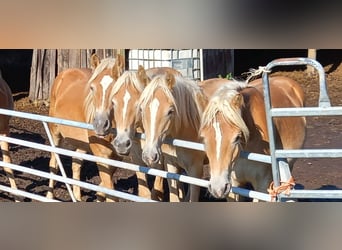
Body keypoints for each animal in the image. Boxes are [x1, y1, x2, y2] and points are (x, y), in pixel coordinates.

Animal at [46, 54, 124, 201]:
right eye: (92, 88)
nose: (100, 125)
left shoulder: (117, 156)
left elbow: (106, 183)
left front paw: (99, 195)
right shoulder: (101, 154)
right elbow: (110, 188)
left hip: (82, 143)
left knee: (76, 163)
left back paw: (77, 197)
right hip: (55, 134)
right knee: (54, 163)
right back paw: (49, 196)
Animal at [109, 65, 183, 200]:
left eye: (138, 104)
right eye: (113, 102)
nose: (121, 144)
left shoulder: (160, 158)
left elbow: (157, 188)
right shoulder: (136, 156)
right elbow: (144, 191)